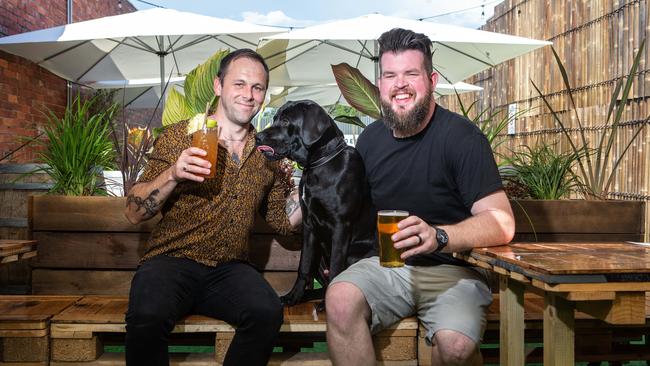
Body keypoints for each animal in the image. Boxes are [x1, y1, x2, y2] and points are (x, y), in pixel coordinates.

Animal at [253, 99, 374, 306]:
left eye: (285, 121)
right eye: (275, 118)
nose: (257, 137)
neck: (319, 165)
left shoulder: (341, 226)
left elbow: (336, 268)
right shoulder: (309, 226)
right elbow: (303, 267)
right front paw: (293, 296)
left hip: (355, 253)